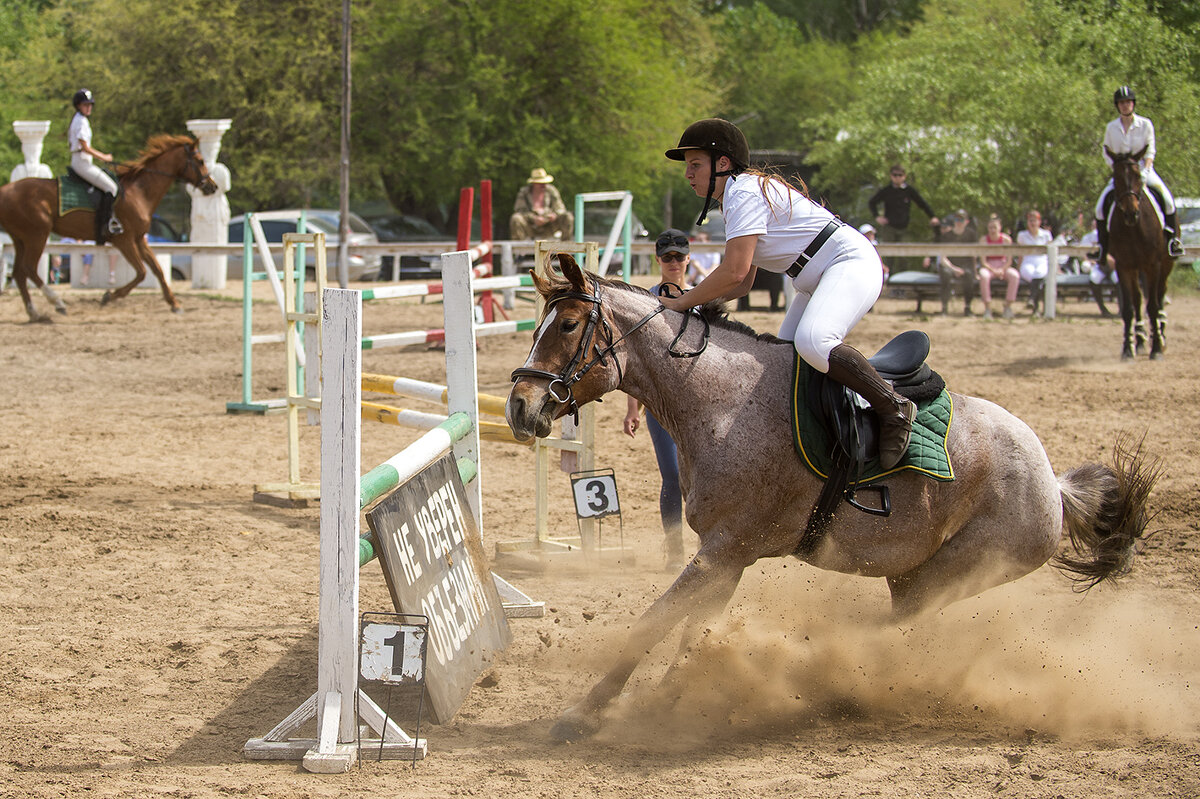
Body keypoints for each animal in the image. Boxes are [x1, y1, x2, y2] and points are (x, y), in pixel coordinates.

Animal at [0, 133, 218, 321]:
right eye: (200, 161)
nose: (213, 186)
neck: (139, 192)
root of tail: (5, 190)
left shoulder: (139, 239)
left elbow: (157, 270)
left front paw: (174, 304)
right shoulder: (124, 240)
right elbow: (142, 272)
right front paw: (108, 296)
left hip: (21, 238)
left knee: (19, 273)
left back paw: (34, 313)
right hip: (37, 235)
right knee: (29, 268)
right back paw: (58, 303)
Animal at [508, 251, 1161, 739]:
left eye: (567, 326)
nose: (519, 407)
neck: (718, 399)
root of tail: (1053, 483)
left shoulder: (723, 549)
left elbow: (653, 623)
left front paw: (585, 712)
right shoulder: (728, 556)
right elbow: (694, 630)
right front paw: (672, 697)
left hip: (958, 569)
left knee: (895, 632)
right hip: (912, 572)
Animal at [1104, 144, 1171, 359]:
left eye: (1138, 175)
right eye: (1115, 177)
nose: (1131, 213)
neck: (1134, 228)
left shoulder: (1153, 265)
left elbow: (1154, 306)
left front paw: (1156, 348)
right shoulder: (1123, 266)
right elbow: (1128, 309)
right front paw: (1127, 348)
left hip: (1165, 266)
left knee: (1159, 295)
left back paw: (1161, 336)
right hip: (1136, 269)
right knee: (1138, 299)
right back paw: (1140, 341)